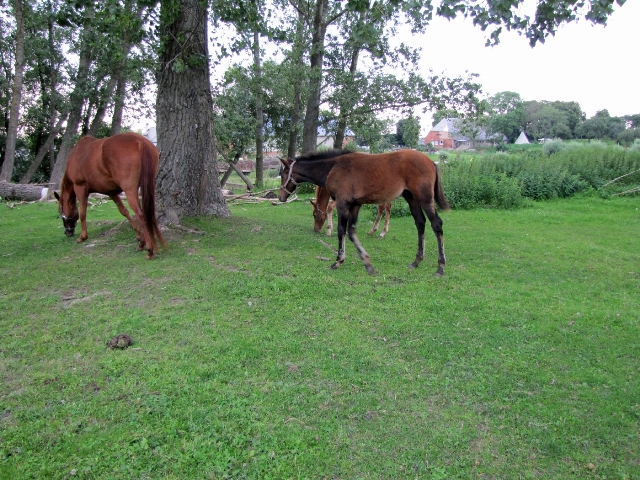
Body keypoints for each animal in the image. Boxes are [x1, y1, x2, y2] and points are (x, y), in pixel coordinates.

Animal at [280, 149, 450, 276]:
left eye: (283, 174)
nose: (280, 196)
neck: (333, 167)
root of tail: (430, 161)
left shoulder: (342, 203)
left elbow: (341, 231)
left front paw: (338, 261)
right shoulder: (355, 205)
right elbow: (351, 232)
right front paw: (367, 264)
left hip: (424, 198)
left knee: (437, 224)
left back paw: (440, 267)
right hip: (411, 198)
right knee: (420, 223)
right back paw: (416, 261)